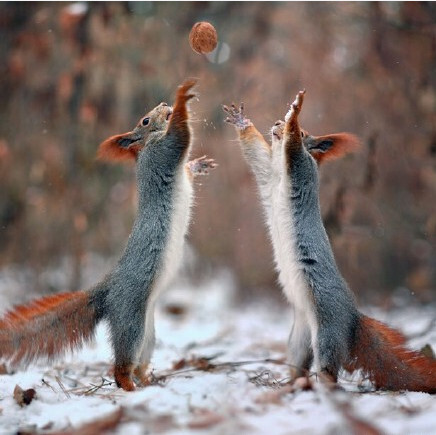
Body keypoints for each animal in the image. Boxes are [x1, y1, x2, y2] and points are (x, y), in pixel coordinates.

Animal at [0, 79, 218, 392]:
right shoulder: (163, 153)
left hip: (147, 333)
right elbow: (180, 135)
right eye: (145, 120)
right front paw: (181, 98)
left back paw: (148, 381)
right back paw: (130, 387)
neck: (146, 146)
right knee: (120, 367)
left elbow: (186, 164)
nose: (163, 104)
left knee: (139, 362)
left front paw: (199, 165)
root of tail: (108, 289)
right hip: (131, 320)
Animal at [225, 90, 436, 394]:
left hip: (327, 327)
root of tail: (352, 318)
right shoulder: (267, 173)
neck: (279, 171)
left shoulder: (301, 167)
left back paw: (322, 386)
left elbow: (294, 149)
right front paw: (242, 121)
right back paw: (288, 384)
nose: (277, 123)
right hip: (300, 338)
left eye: (305, 132)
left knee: (329, 369)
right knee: (299, 364)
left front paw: (295, 112)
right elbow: (255, 153)